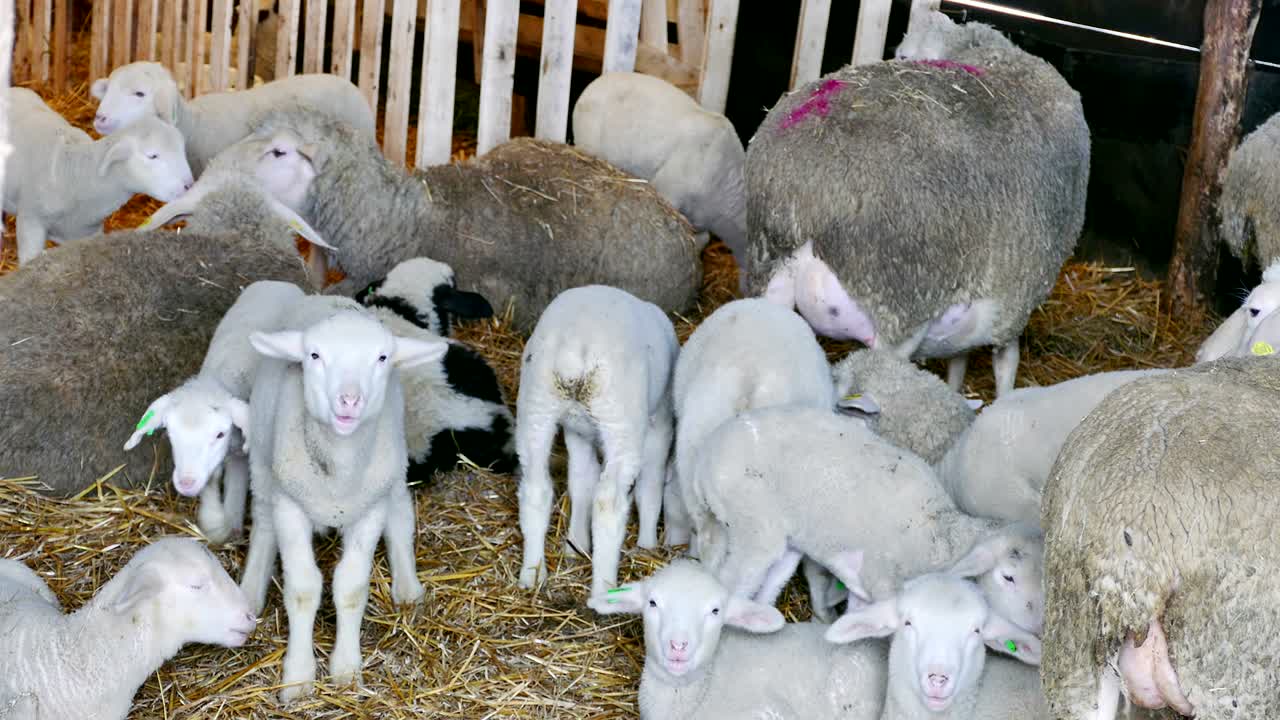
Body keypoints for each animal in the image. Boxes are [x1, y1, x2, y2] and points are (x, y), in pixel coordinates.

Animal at [123, 280, 306, 544]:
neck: (222, 374)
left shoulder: (241, 453)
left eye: (220, 434)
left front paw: (229, 524)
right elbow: (213, 479)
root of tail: (277, 283)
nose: (186, 483)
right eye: (170, 434)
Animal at [236, 296, 446, 701]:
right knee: (263, 523)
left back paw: (407, 586)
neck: (339, 470)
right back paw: (251, 590)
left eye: (382, 357)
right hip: (264, 465)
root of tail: (325, 299)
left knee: (400, 516)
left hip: (393, 467)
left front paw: (347, 670)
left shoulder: (369, 508)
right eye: (314, 355)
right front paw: (298, 676)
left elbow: (350, 587)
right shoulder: (290, 506)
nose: (349, 400)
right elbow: (303, 589)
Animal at [515, 285, 678, 595]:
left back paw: (532, 575)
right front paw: (647, 544)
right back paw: (604, 588)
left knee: (536, 489)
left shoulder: (578, 431)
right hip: (621, 419)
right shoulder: (660, 423)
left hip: (536, 405)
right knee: (608, 503)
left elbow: (581, 483)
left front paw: (576, 545)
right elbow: (650, 487)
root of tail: (575, 348)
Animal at [691, 404, 1045, 637]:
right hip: (754, 527)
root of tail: (706, 456)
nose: (1038, 627)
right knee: (730, 581)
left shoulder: (863, 585)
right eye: (1008, 577)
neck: (941, 536)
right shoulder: (882, 581)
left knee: (766, 580)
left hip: (775, 538)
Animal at [746, 10, 1089, 398]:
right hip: (898, 305)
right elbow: (1006, 366)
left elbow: (960, 360)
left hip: (769, 275)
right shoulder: (1016, 299)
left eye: (903, 55)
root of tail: (807, 200)